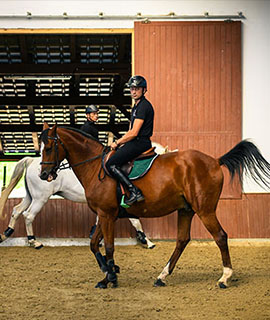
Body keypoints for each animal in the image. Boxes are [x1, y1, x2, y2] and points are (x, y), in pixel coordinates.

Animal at [0, 141, 170, 249]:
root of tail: (31, 161)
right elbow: (136, 222)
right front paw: (148, 242)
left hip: (31, 196)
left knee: (16, 210)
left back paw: (6, 233)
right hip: (40, 198)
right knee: (28, 215)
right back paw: (33, 242)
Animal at [39, 124, 270, 288]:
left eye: (49, 148)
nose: (44, 175)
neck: (96, 166)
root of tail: (214, 160)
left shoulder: (106, 215)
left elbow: (108, 246)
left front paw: (111, 275)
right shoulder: (105, 216)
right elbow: (94, 244)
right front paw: (108, 273)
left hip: (205, 210)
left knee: (220, 236)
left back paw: (225, 277)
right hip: (186, 210)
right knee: (182, 240)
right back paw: (162, 276)